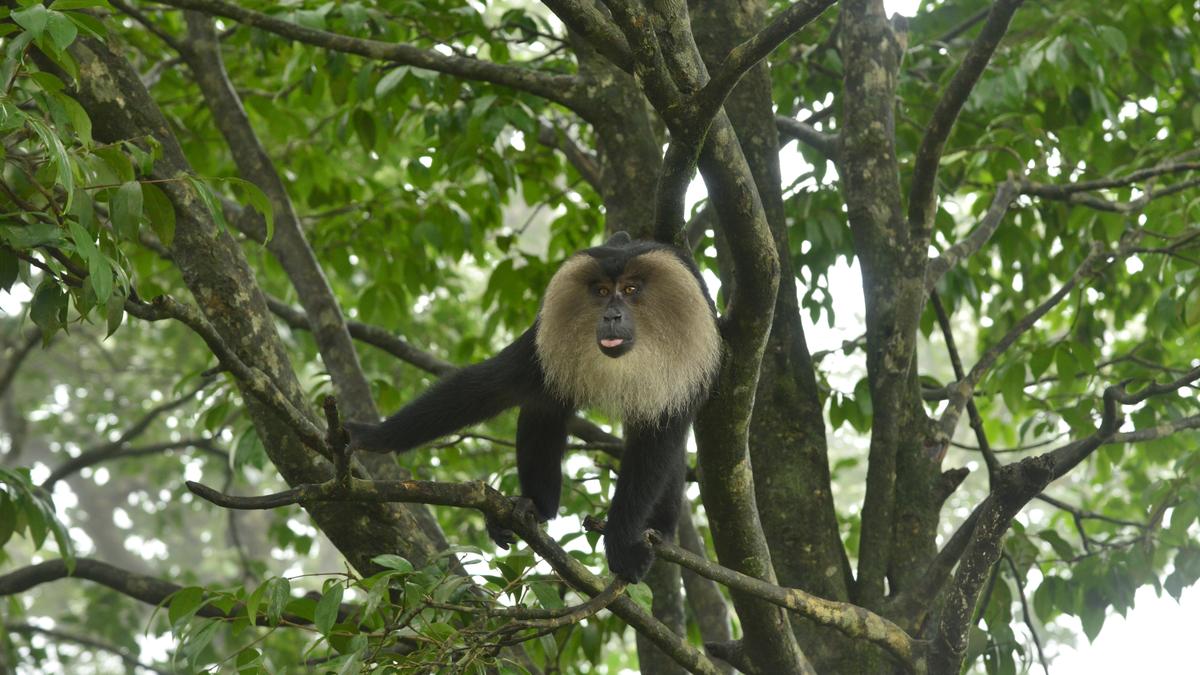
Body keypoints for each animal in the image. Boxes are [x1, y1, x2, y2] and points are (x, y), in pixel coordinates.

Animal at [348, 229, 720, 578]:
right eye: (600, 291)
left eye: (630, 290)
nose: (612, 316)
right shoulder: (543, 340)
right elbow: (495, 385)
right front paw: (372, 436)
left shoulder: (684, 365)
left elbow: (657, 445)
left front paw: (620, 542)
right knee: (545, 406)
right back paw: (535, 507)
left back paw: (659, 530)